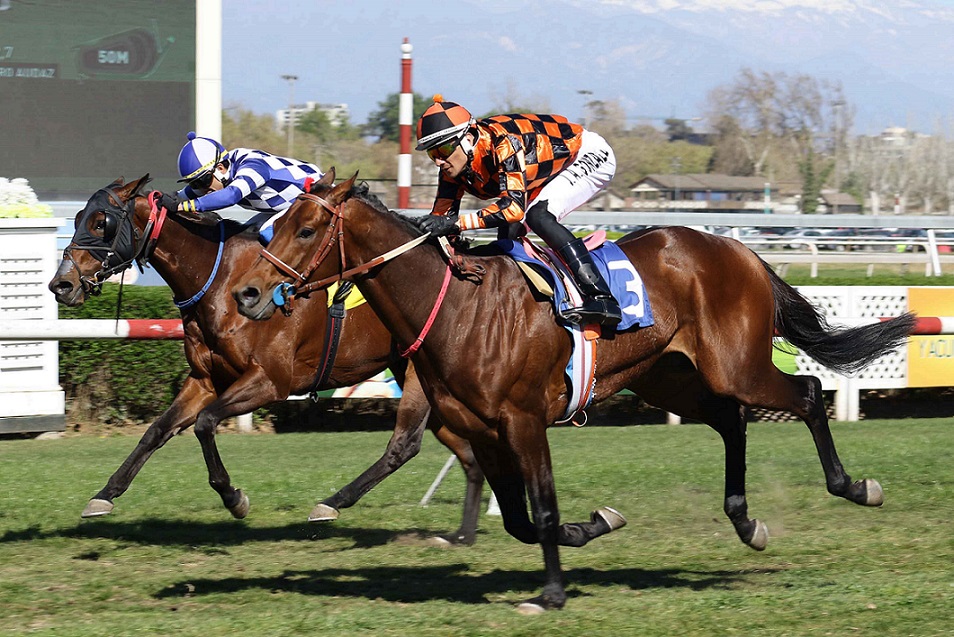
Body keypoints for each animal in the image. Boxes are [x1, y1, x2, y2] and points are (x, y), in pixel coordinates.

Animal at [47, 174, 484, 545]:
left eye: (100, 222)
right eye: (77, 218)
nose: (60, 284)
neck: (219, 280)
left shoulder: (270, 381)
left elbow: (205, 424)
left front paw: (234, 498)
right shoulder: (205, 380)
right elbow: (156, 430)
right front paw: (105, 494)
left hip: (419, 377)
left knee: (404, 444)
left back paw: (332, 503)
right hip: (433, 383)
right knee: (466, 451)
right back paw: (464, 532)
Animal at [230, 172, 916, 613]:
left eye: (306, 228)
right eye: (277, 222)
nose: (246, 293)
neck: (454, 305)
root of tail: (735, 246)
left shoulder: (523, 420)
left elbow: (541, 509)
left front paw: (553, 593)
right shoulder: (481, 429)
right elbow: (519, 520)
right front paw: (594, 527)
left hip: (735, 366)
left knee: (806, 392)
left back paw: (854, 487)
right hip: (669, 377)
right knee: (731, 421)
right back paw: (746, 522)